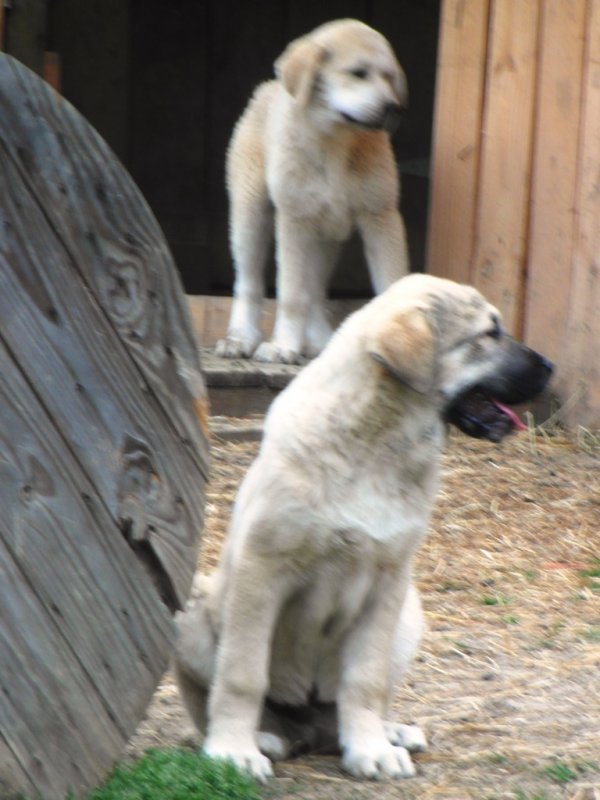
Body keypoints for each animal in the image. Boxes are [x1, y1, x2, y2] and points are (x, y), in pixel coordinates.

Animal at [175, 274, 552, 780]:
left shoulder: (387, 583)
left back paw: (388, 731)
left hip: (409, 615)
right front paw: (233, 751)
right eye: (489, 333)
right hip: (192, 611)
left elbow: (364, 680)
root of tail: (310, 731)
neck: (377, 443)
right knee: (217, 700)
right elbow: (242, 674)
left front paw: (370, 748)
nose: (550, 366)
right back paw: (263, 737)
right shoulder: (262, 569)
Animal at [214, 18, 408, 364]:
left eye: (388, 77)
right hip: (250, 214)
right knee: (249, 282)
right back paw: (240, 338)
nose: (392, 108)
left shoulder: (381, 215)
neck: (336, 141)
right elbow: (290, 294)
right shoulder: (294, 219)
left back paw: (320, 342)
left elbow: (390, 280)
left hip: (325, 236)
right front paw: (281, 346)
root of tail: (269, 87)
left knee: (315, 292)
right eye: (358, 73)